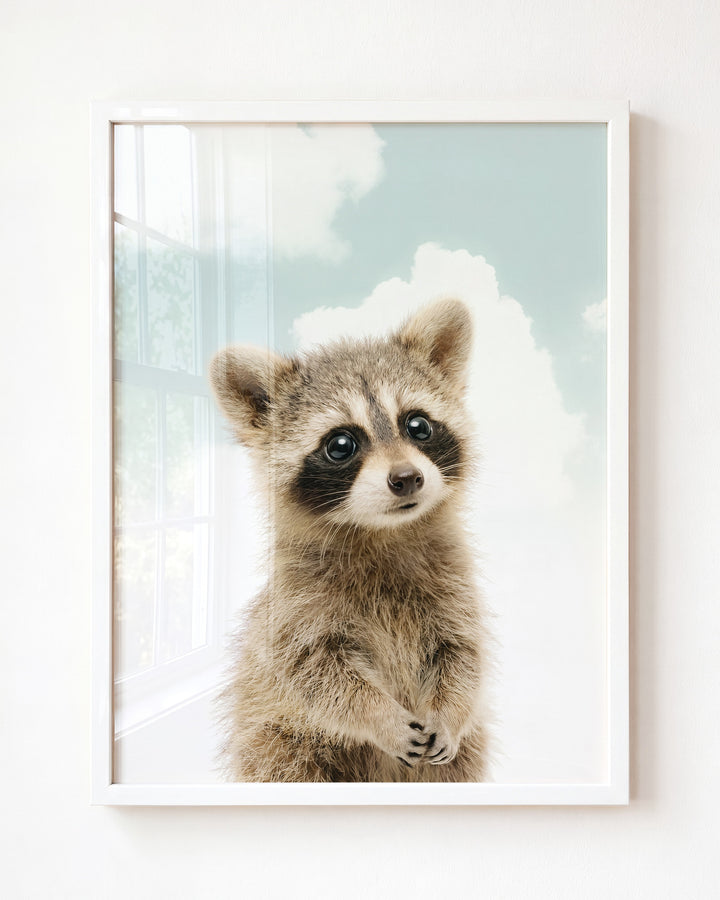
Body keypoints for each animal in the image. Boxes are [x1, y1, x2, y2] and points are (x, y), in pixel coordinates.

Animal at [210, 298, 492, 782]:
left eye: (418, 425)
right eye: (341, 444)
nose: (407, 478)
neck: (383, 533)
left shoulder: (454, 586)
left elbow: (462, 654)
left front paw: (450, 711)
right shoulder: (295, 609)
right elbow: (317, 675)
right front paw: (380, 717)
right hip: (278, 742)